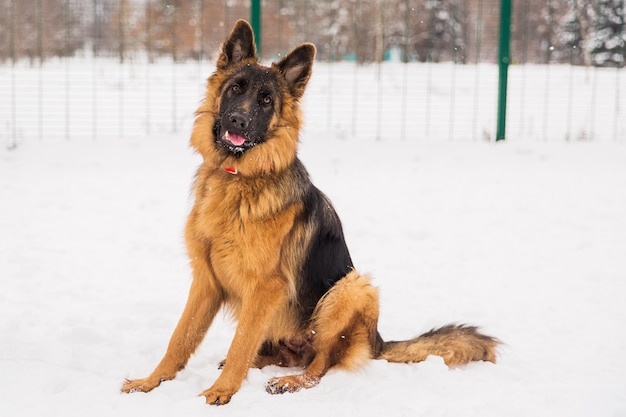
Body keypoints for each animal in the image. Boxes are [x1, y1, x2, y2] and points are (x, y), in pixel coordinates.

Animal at [119, 20, 494, 406]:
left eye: (266, 100)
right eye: (235, 89)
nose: (237, 120)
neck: (238, 178)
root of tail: (377, 341)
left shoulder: (265, 288)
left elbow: (241, 343)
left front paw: (221, 391)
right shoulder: (206, 281)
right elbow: (180, 338)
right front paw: (151, 382)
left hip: (351, 288)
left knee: (319, 365)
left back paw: (290, 382)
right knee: (281, 355)